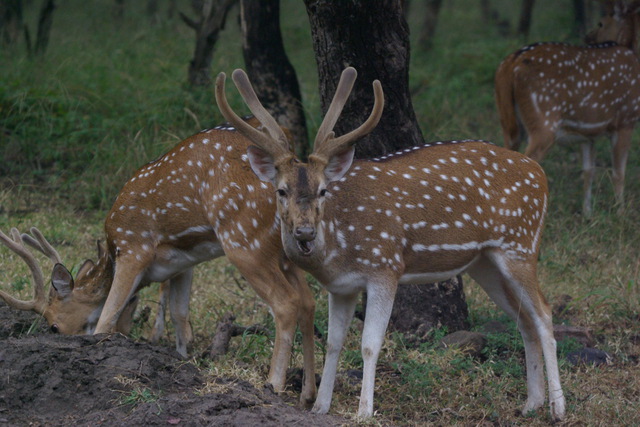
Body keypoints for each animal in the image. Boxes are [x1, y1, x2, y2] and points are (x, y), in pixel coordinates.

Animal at [0, 116, 318, 408]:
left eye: (53, 325)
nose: (60, 338)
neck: (112, 251)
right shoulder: (183, 261)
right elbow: (180, 317)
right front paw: (181, 359)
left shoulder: (134, 247)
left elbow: (107, 316)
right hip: (286, 249)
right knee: (308, 300)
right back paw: (307, 395)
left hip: (244, 237)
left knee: (285, 302)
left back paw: (274, 385)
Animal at [216, 68, 564, 422]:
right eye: (281, 190)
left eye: (324, 190)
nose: (304, 232)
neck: (337, 250)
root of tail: (540, 174)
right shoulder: (341, 287)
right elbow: (334, 342)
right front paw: (320, 407)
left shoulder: (385, 266)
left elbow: (370, 343)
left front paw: (364, 412)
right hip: (485, 262)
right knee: (524, 320)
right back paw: (531, 403)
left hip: (521, 244)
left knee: (545, 313)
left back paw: (557, 408)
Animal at [496, 0, 640, 217]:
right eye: (600, 21)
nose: (587, 37)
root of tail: (511, 63)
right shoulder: (625, 119)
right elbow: (618, 172)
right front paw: (620, 212)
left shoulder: (588, 133)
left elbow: (588, 171)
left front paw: (587, 212)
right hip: (543, 120)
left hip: (508, 121)